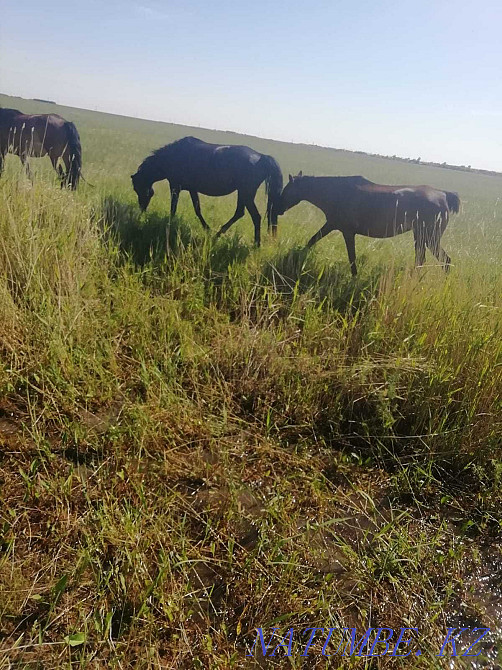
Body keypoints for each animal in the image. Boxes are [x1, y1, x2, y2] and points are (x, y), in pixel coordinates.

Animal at [131, 136, 283, 246]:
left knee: (255, 216)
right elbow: (197, 209)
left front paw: (169, 224)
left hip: (246, 193)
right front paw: (207, 228)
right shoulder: (192, 189)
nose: (142, 209)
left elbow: (173, 208)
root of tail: (261, 157)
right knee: (240, 213)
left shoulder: (175, 186)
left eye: (137, 188)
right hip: (243, 193)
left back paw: (256, 244)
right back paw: (218, 234)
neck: (173, 156)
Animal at [276, 172, 460, 275]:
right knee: (424, 259)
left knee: (444, 260)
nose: (278, 208)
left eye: (287, 189)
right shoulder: (331, 225)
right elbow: (311, 241)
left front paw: (354, 277)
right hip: (421, 237)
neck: (337, 192)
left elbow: (352, 257)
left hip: (429, 237)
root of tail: (443, 195)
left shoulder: (346, 231)